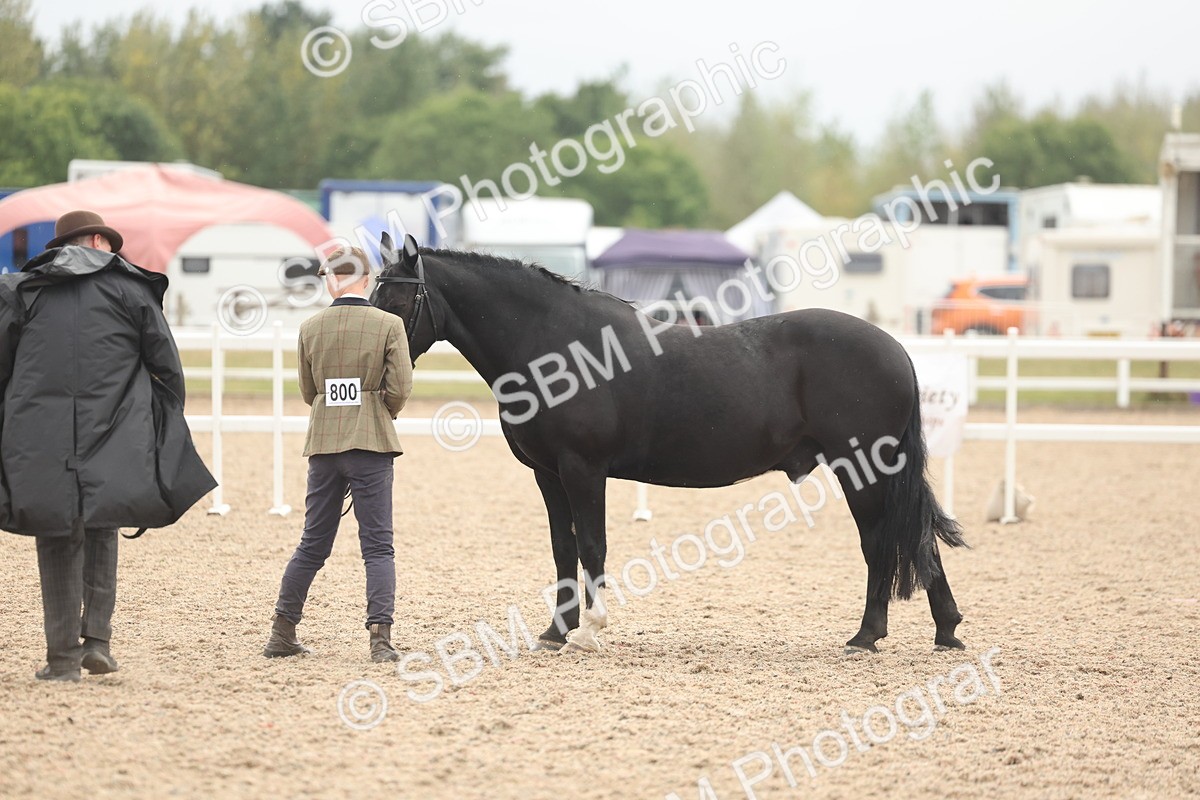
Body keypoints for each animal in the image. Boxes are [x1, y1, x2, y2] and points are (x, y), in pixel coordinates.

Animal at [371, 232, 967, 655]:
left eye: (396, 302)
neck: (554, 345)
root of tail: (895, 349)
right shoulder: (548, 474)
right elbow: (564, 549)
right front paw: (556, 631)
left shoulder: (583, 469)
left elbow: (592, 546)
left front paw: (590, 631)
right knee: (913, 539)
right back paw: (944, 631)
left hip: (862, 468)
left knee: (882, 542)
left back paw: (867, 636)